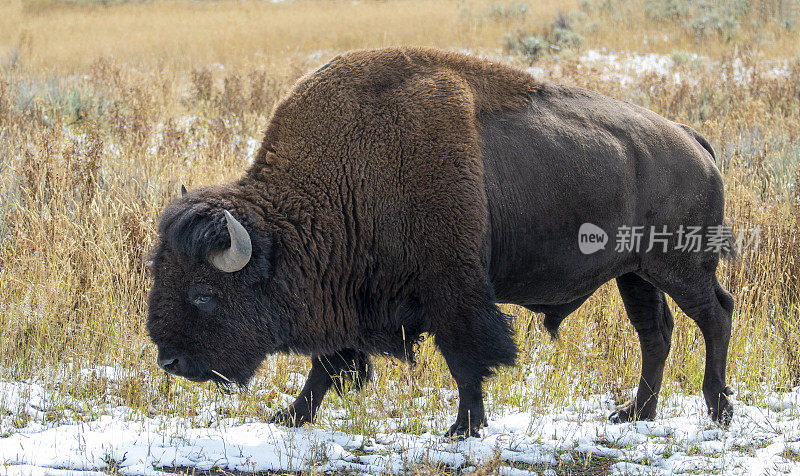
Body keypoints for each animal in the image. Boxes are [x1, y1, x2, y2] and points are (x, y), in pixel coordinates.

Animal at [147, 46, 736, 436]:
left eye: (204, 293)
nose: (170, 361)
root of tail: (693, 140)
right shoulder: (350, 300)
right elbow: (328, 364)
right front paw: (288, 416)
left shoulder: (452, 291)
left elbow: (465, 359)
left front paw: (463, 428)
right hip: (635, 273)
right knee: (655, 332)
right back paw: (635, 413)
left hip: (680, 265)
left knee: (715, 315)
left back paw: (718, 409)